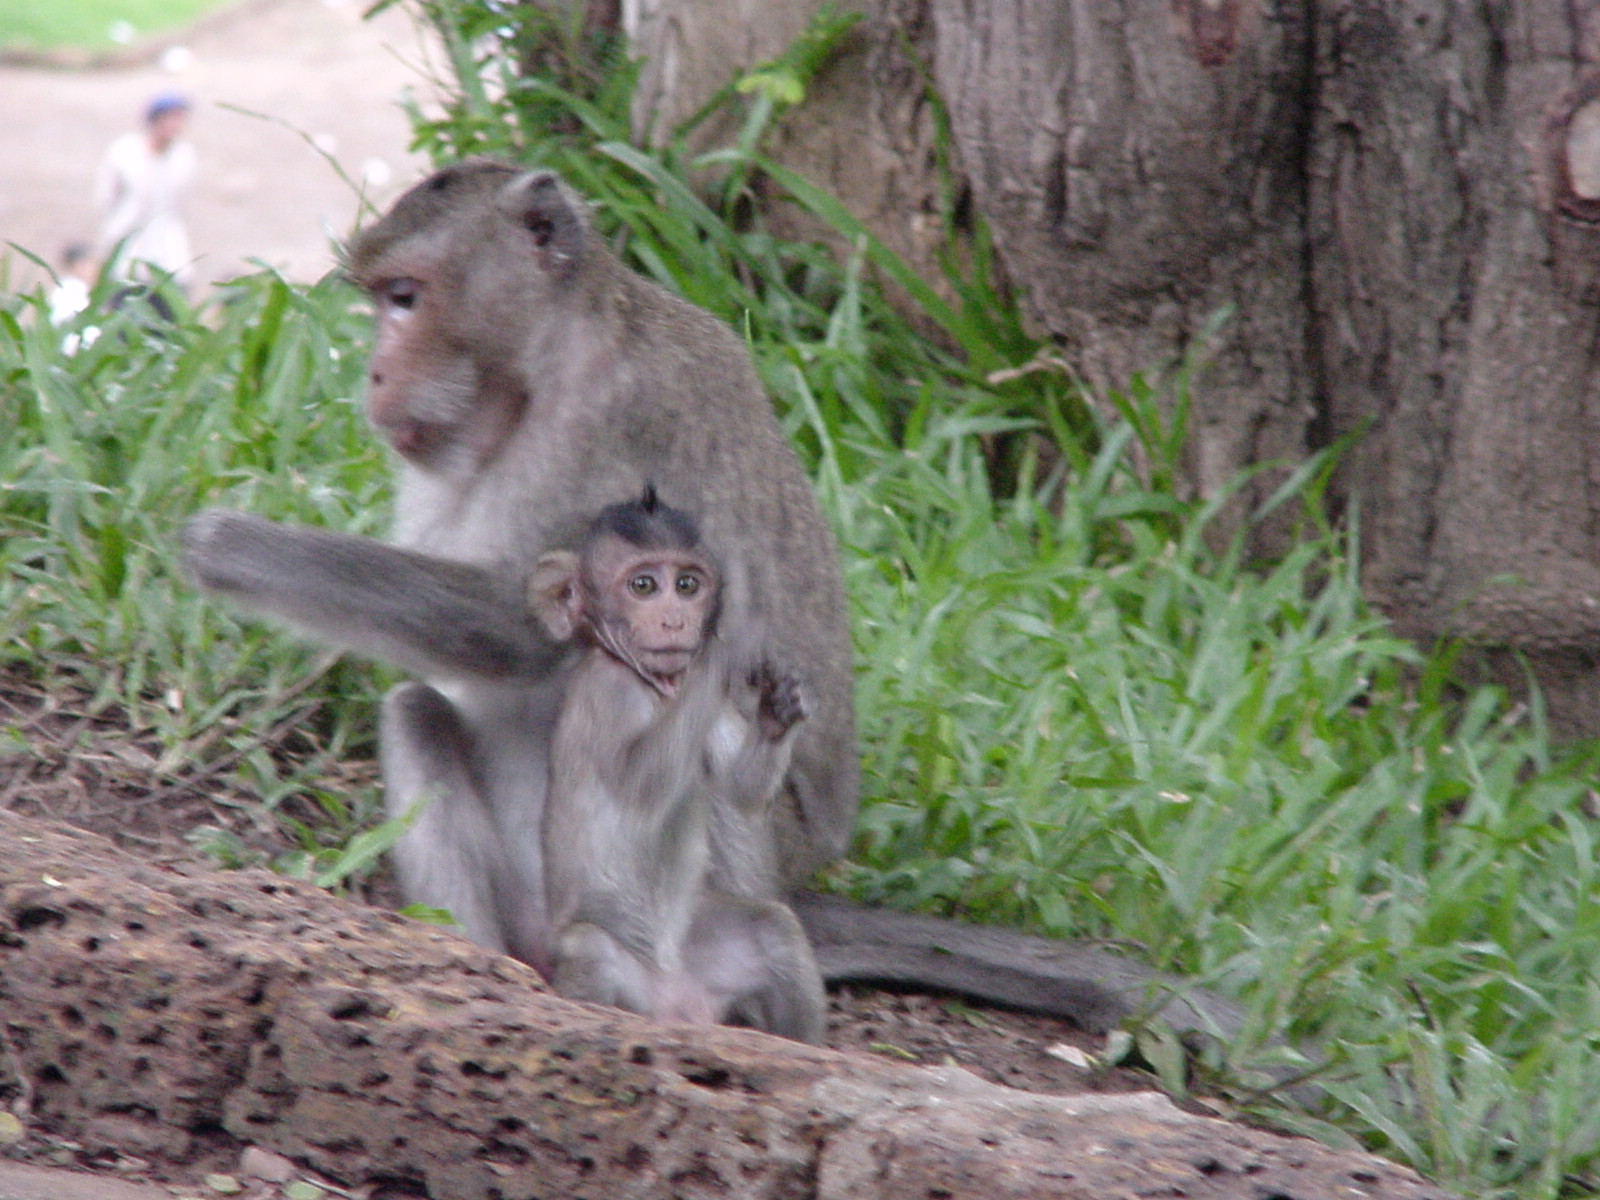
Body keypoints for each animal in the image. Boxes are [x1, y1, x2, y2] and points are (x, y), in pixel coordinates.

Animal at [531, 486, 825, 1043]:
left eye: (687, 585)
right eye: (644, 585)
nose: (675, 620)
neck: (654, 685)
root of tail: (672, 1005)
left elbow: (741, 790)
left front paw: (779, 709)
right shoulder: (610, 692)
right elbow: (640, 786)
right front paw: (728, 646)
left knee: (772, 926)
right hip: (612, 969)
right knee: (592, 949)